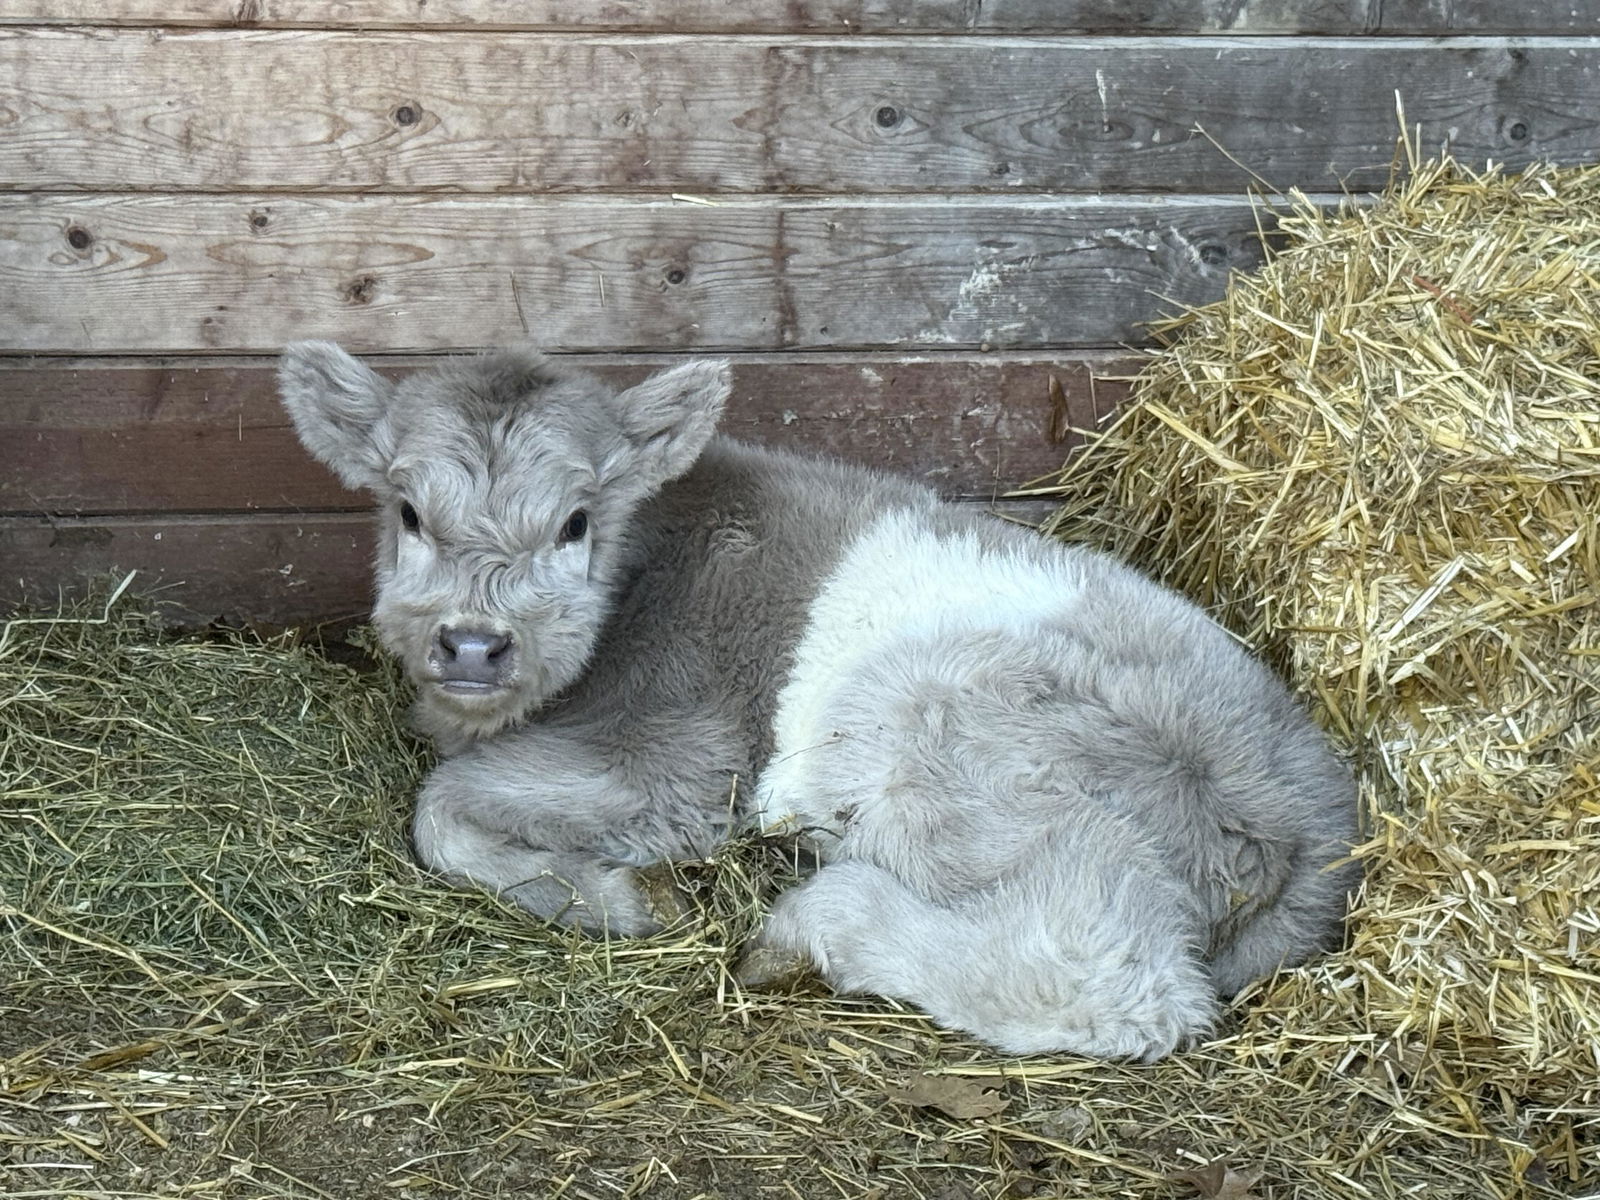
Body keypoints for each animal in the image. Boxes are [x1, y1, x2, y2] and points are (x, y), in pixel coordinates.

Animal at [278, 341, 1359, 1060]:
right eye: (408, 513)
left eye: (576, 522)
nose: (472, 641)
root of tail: (1320, 819)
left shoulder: (681, 761)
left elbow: (440, 809)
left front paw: (623, 898)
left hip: (961, 743)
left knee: (1106, 975)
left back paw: (809, 925)